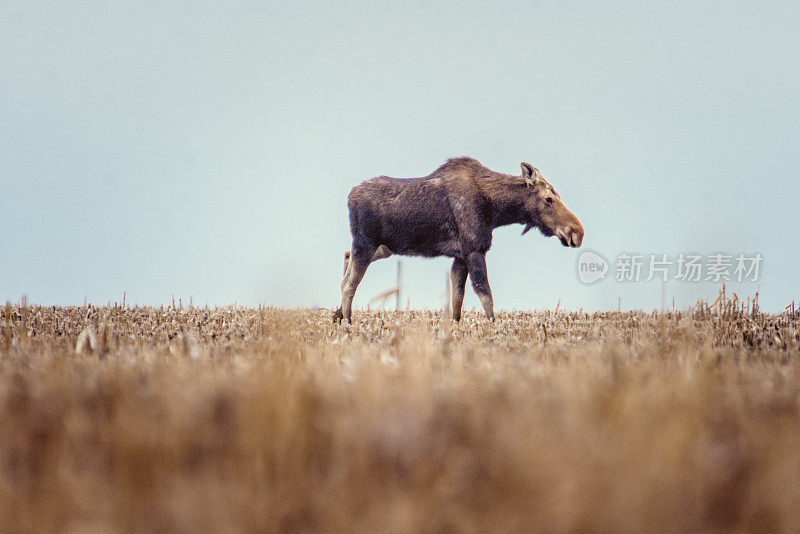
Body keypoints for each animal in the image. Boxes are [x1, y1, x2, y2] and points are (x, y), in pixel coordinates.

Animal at [334, 157, 584, 324]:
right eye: (549, 198)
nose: (577, 232)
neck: (496, 210)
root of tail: (349, 196)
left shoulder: (460, 257)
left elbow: (457, 300)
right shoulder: (474, 250)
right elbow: (486, 296)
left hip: (382, 247)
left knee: (345, 261)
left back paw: (337, 316)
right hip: (366, 243)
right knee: (349, 284)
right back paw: (348, 323)